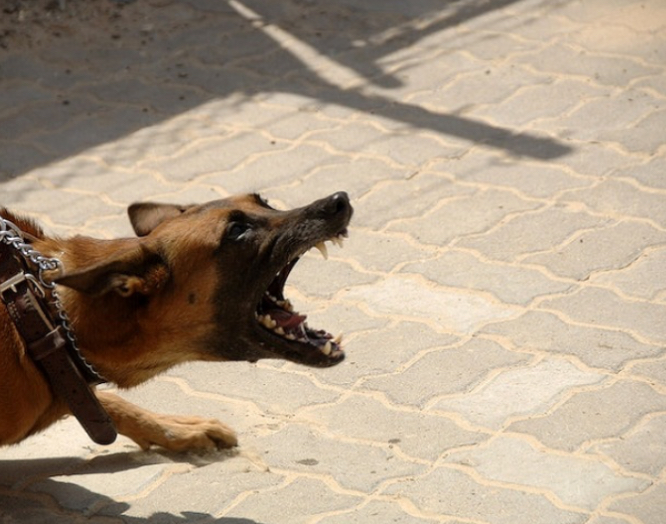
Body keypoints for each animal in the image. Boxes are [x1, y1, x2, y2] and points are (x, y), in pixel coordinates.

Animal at [0, 191, 352, 450]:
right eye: (237, 231)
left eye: (264, 202)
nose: (339, 200)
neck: (44, 314)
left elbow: (112, 402)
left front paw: (174, 429)